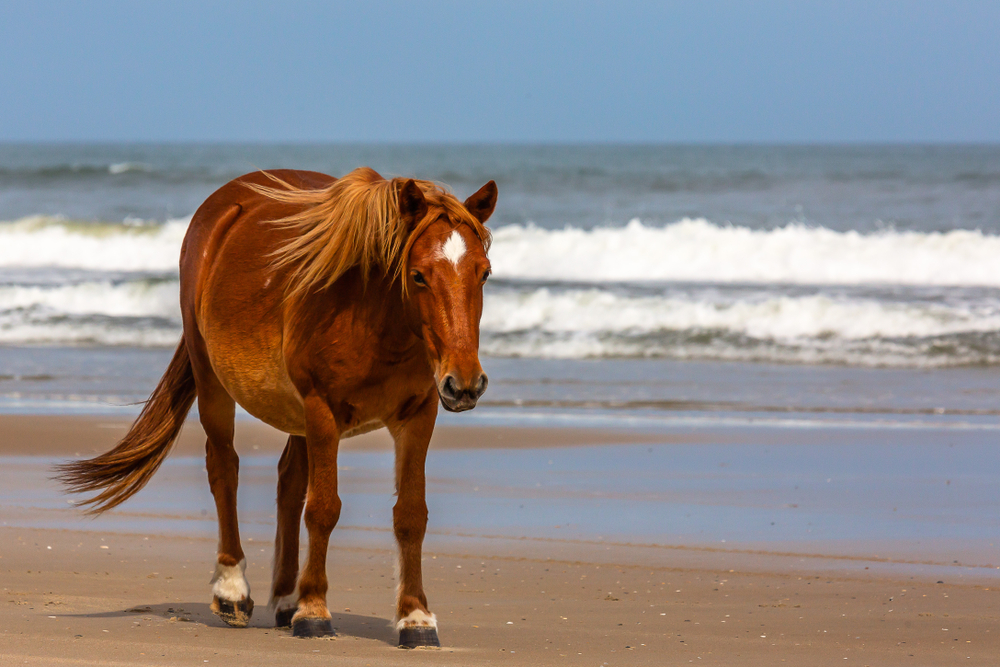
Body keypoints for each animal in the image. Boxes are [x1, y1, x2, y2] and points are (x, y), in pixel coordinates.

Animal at [55, 166, 496, 648]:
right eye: (418, 275)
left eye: (484, 273)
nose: (465, 384)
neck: (373, 316)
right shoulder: (322, 409)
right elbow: (323, 509)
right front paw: (315, 611)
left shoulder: (418, 414)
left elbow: (410, 515)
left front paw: (415, 618)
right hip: (214, 382)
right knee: (224, 468)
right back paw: (233, 590)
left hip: (297, 416)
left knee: (288, 482)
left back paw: (286, 599)